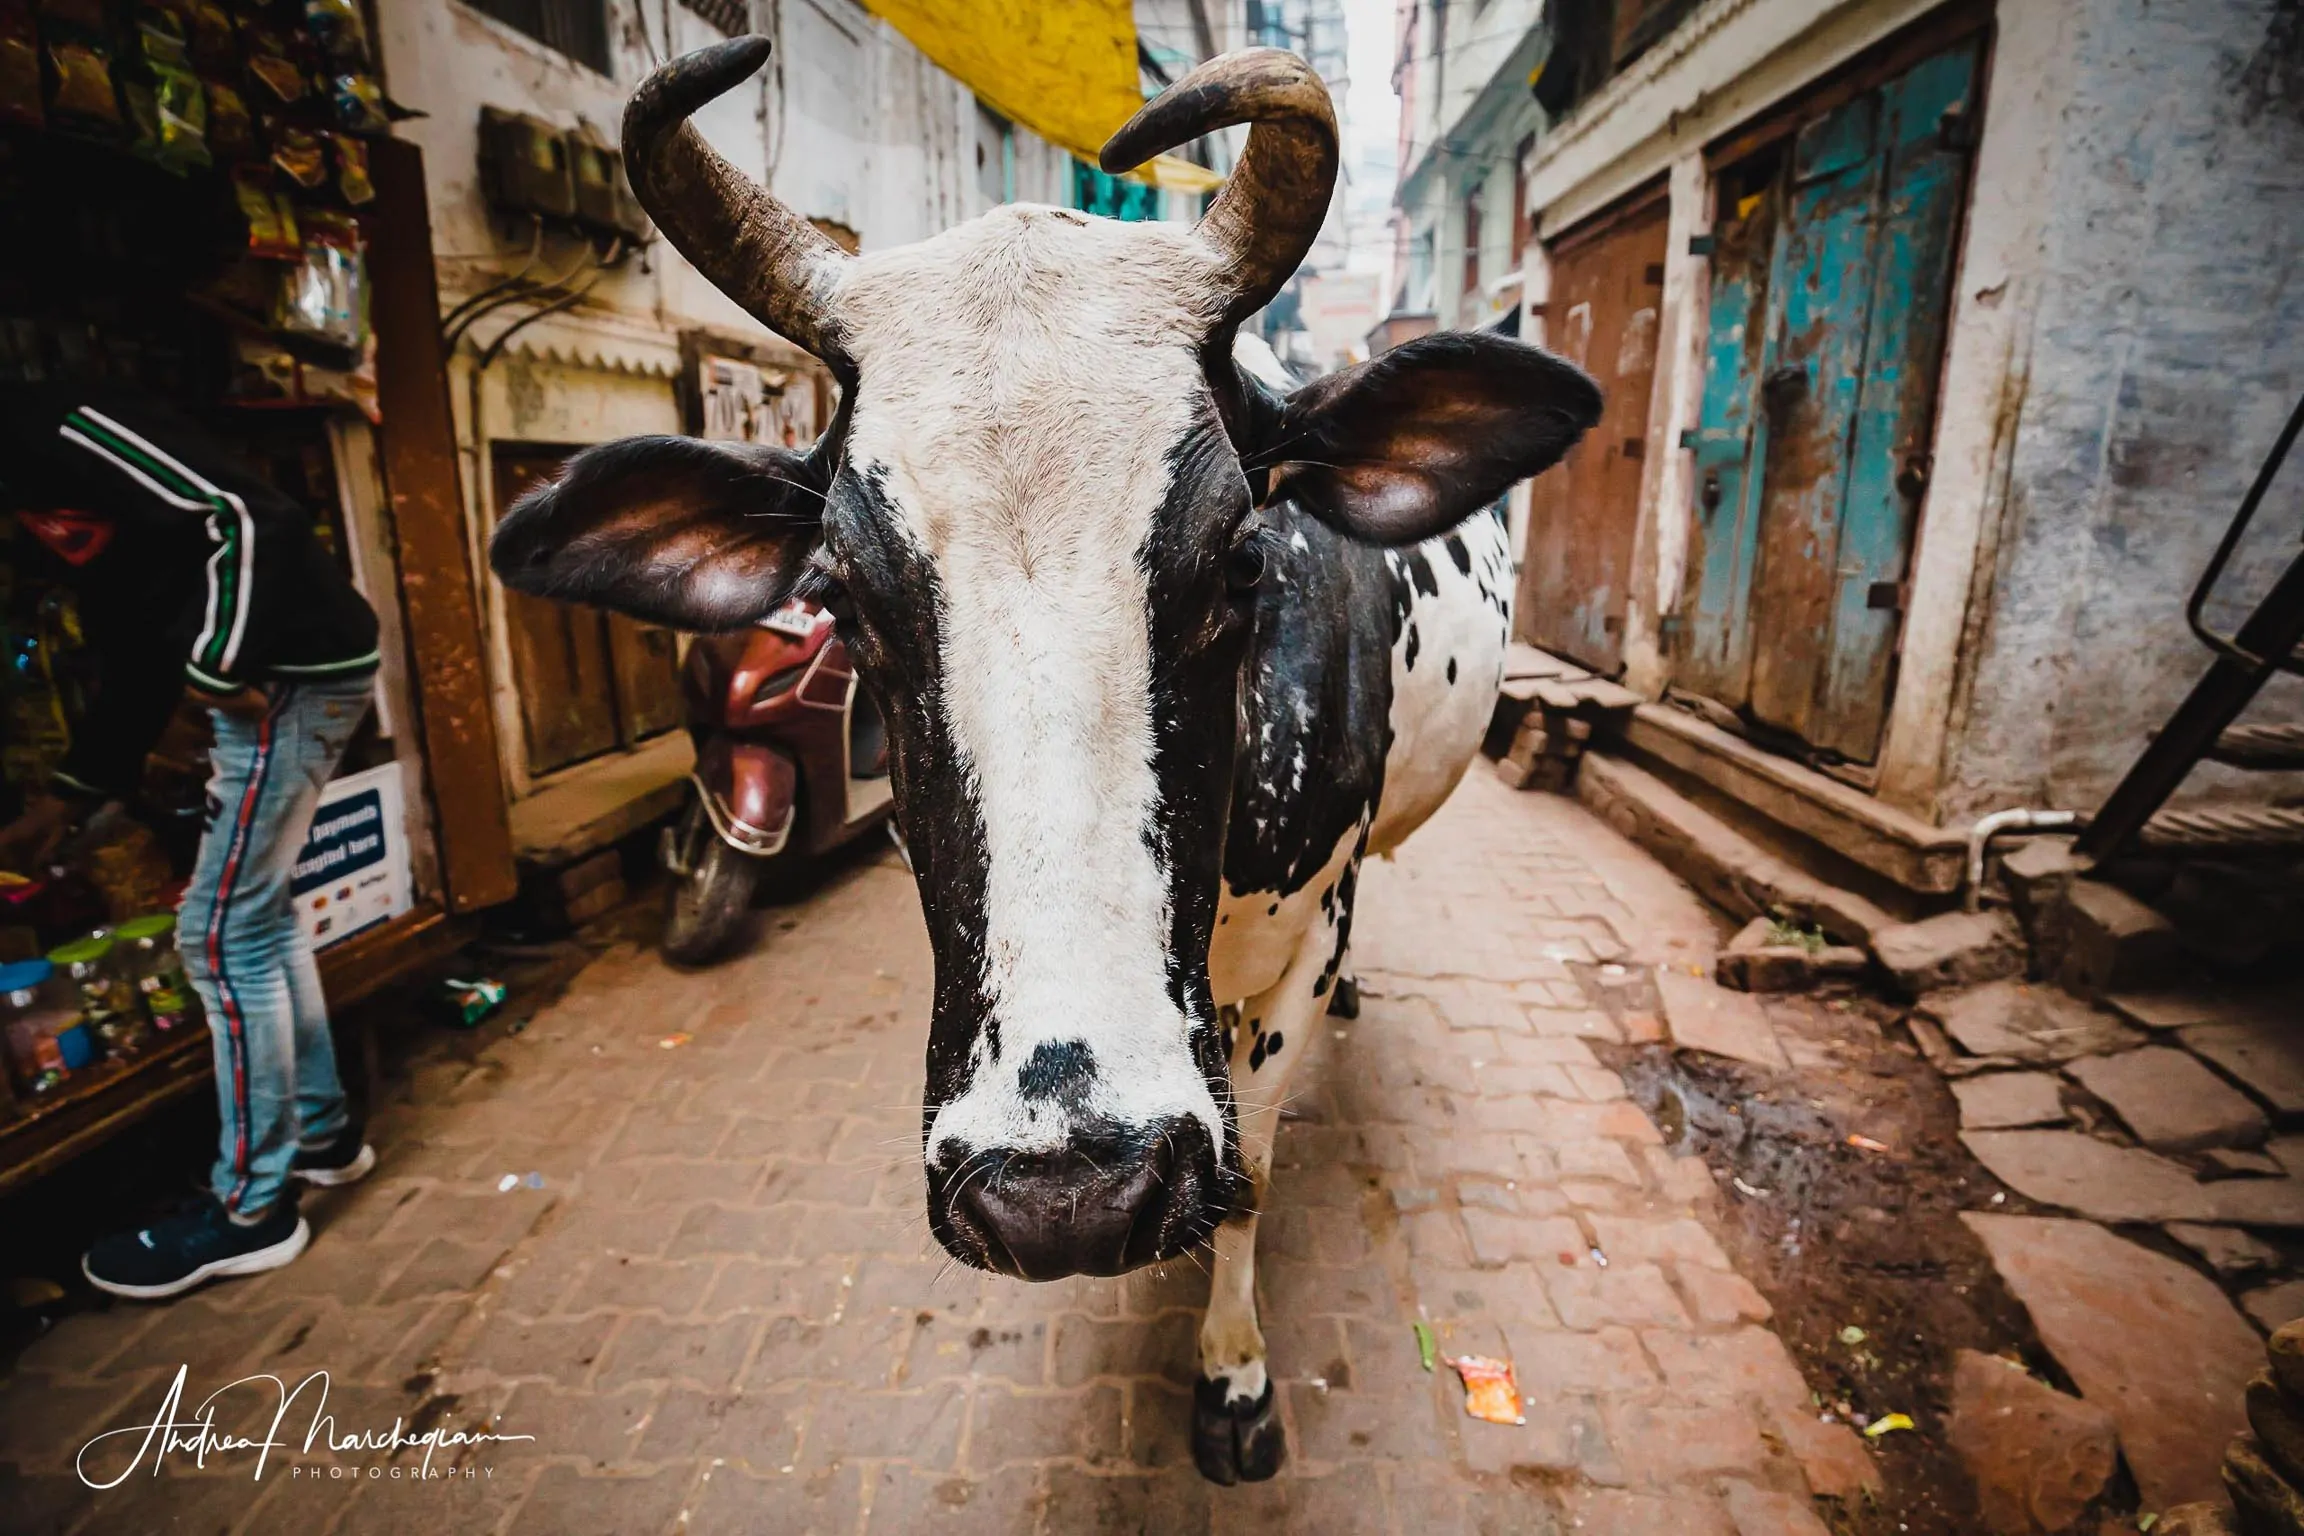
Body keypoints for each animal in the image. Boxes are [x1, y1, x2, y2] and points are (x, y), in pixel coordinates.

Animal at [490, 33, 1603, 1473]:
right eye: (838, 596)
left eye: (1243, 560)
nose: (1065, 1195)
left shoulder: (1302, 940)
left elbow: (1248, 1173)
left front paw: (1234, 1378)